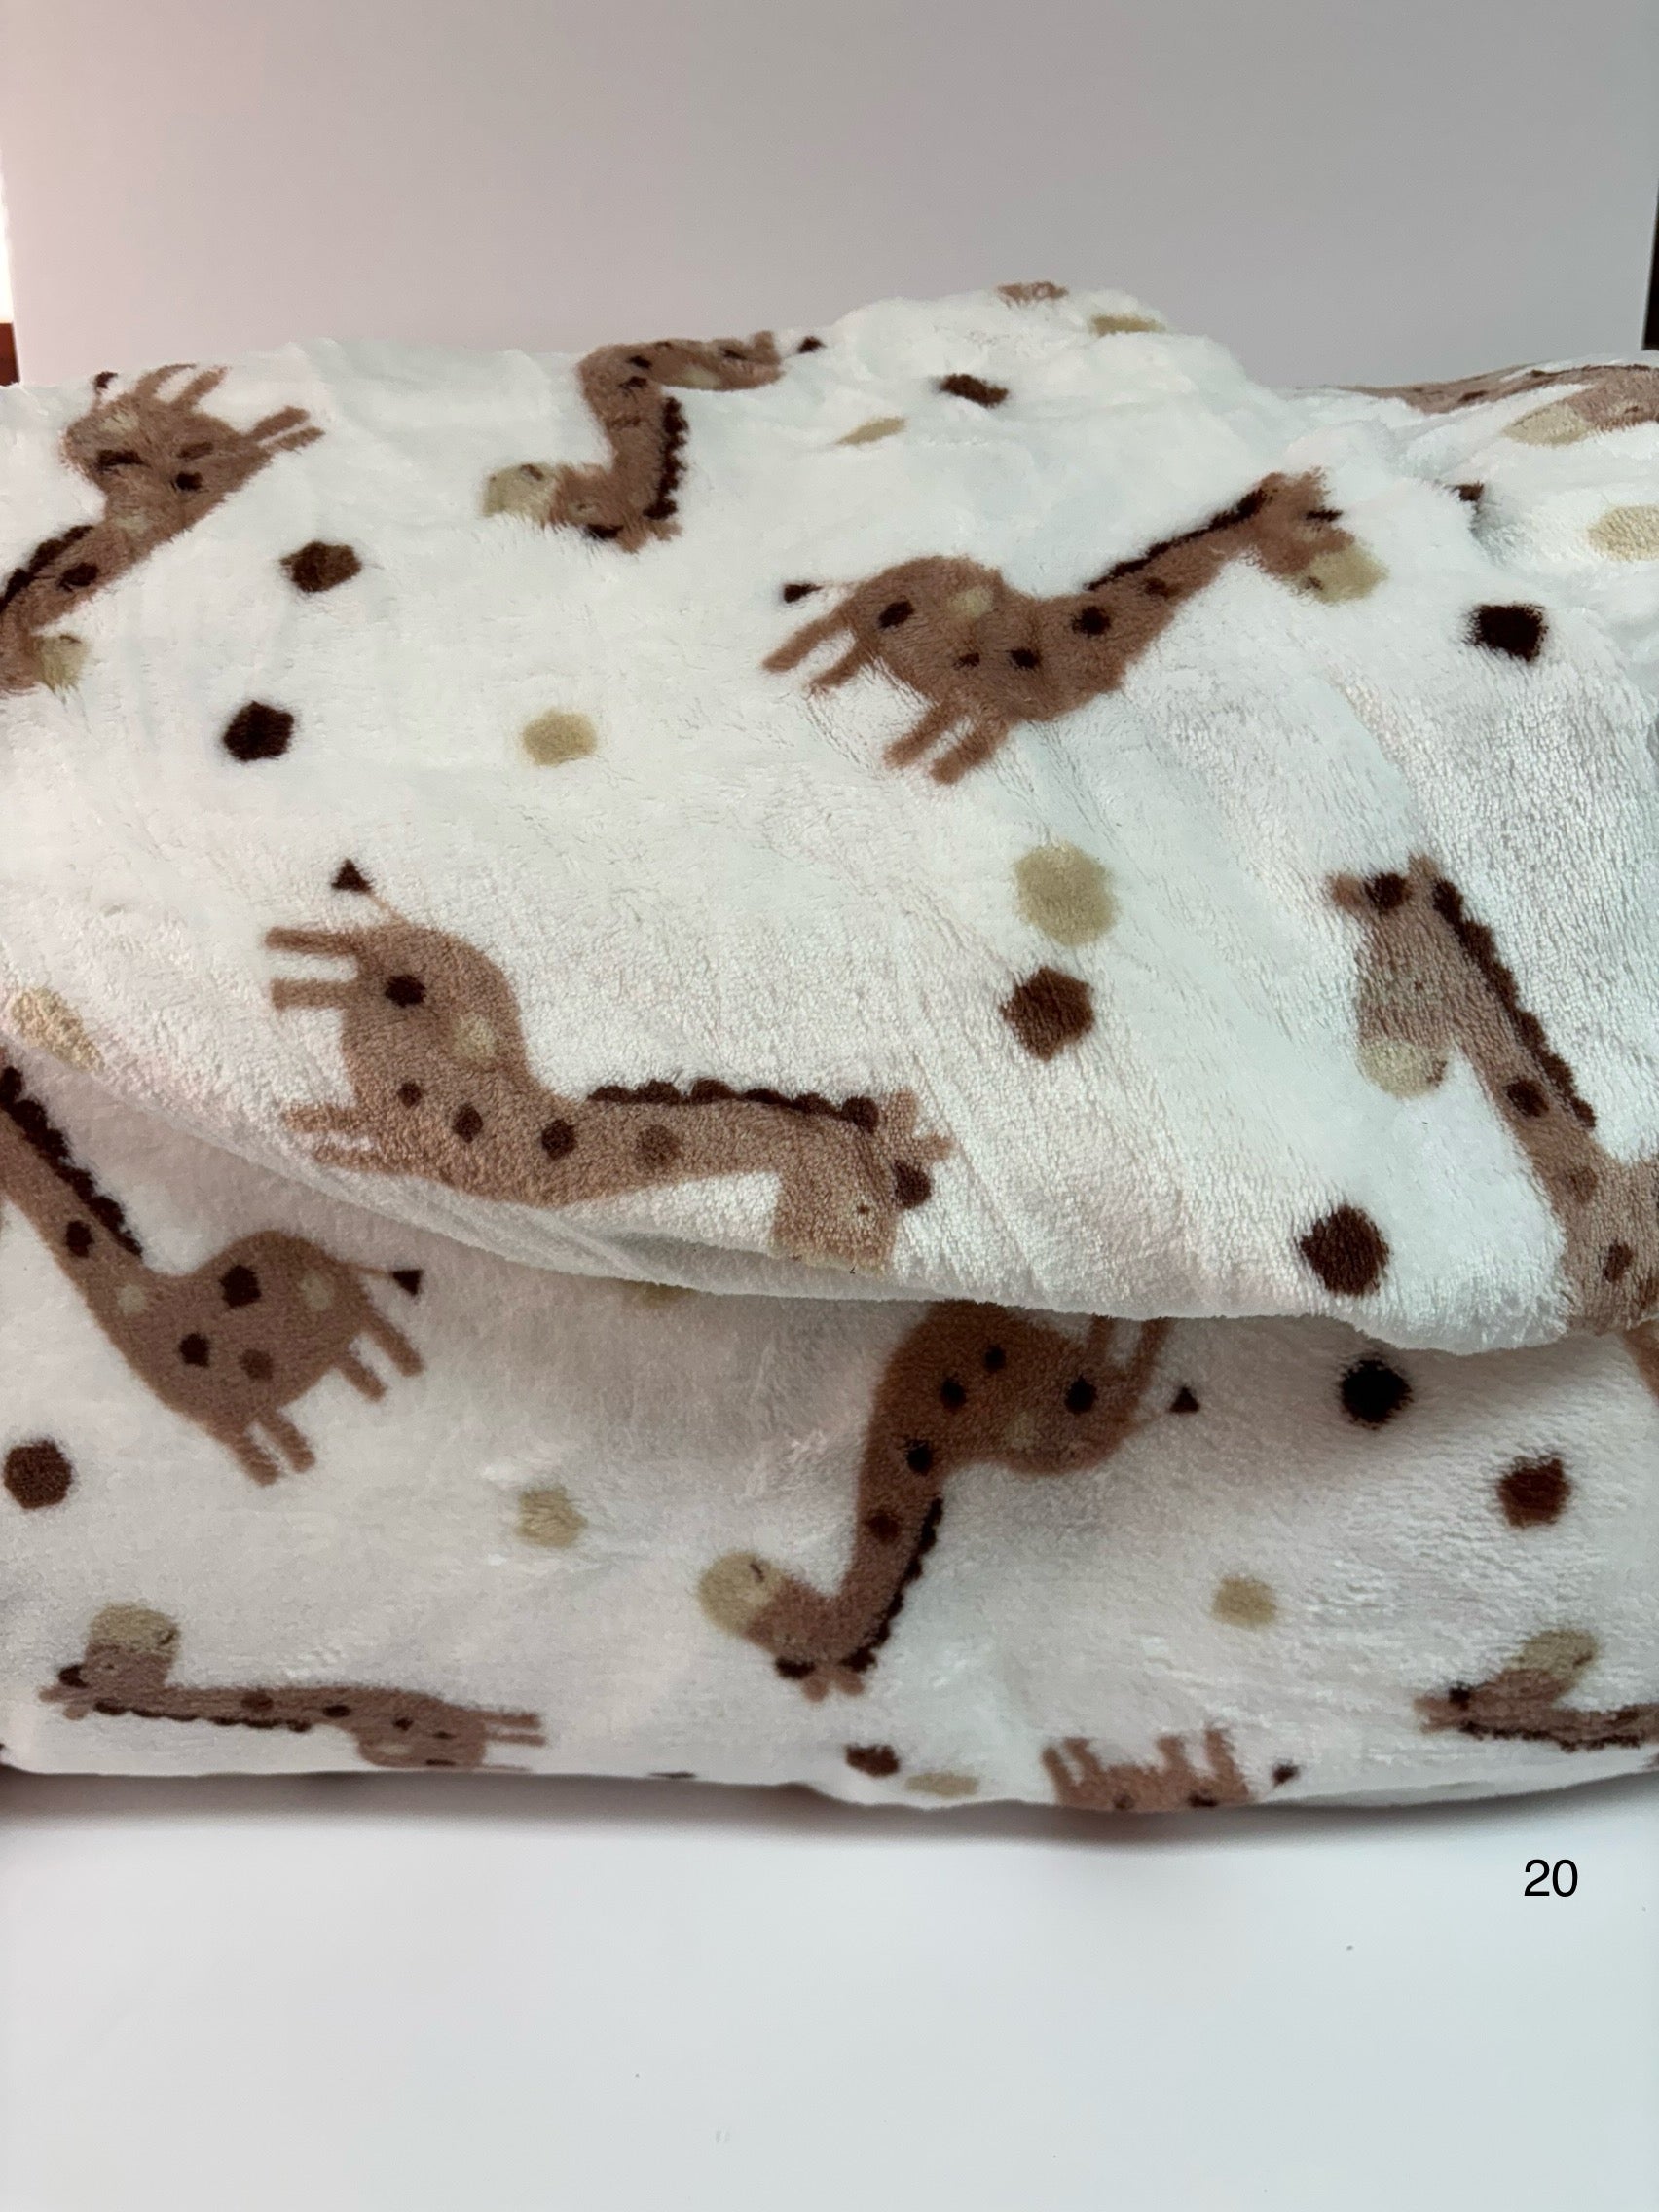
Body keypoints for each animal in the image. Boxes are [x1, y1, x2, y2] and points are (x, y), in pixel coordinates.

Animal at [0, 1060, 422, 1484]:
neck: (145, 1301)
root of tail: (320, 1252)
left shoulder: (231, 1417)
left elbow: (277, 1467)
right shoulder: (237, 1416)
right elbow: (286, 1460)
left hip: (353, 1316)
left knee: (382, 1337)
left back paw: (408, 1369)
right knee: (358, 1367)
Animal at [266, 874, 949, 1274]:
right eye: (864, 1209)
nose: (868, 1264)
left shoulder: (412, 1144)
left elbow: (345, 1130)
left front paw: (308, 1125)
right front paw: (309, 1133)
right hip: (394, 965)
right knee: (340, 952)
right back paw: (278, 962)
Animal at [763, 469, 1385, 783]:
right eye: (1321, 516)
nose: (1360, 578)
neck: (1077, 630)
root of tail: (897, 564)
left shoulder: (985, 713)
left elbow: (932, 754)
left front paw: (898, 769)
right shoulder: (984, 707)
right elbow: (935, 761)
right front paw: (899, 773)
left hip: (878, 634)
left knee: (852, 650)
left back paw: (818, 688)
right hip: (863, 612)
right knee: (822, 628)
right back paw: (780, 667)